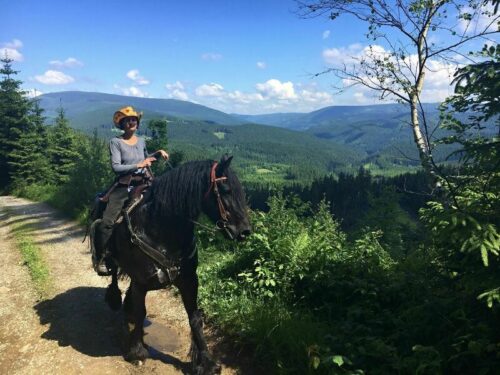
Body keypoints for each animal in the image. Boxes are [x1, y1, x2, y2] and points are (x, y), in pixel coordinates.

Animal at [98, 155, 250, 374]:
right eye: (226, 190)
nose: (245, 231)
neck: (161, 230)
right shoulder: (141, 282)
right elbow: (141, 312)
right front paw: (137, 352)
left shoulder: (189, 281)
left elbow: (195, 318)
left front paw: (206, 362)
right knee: (114, 274)